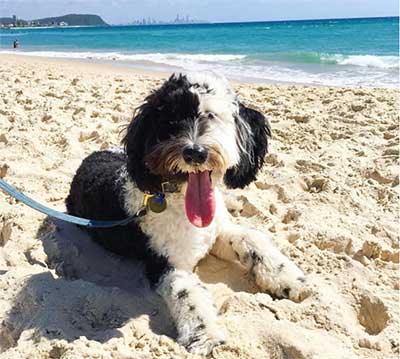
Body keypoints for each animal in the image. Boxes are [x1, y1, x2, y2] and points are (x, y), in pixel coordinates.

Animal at [67, 71, 308, 356]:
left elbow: (252, 238)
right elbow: (188, 295)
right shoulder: (167, 264)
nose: (195, 153)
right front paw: (207, 335)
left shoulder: (217, 233)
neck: (178, 198)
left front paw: (288, 278)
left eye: (211, 115)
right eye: (170, 120)